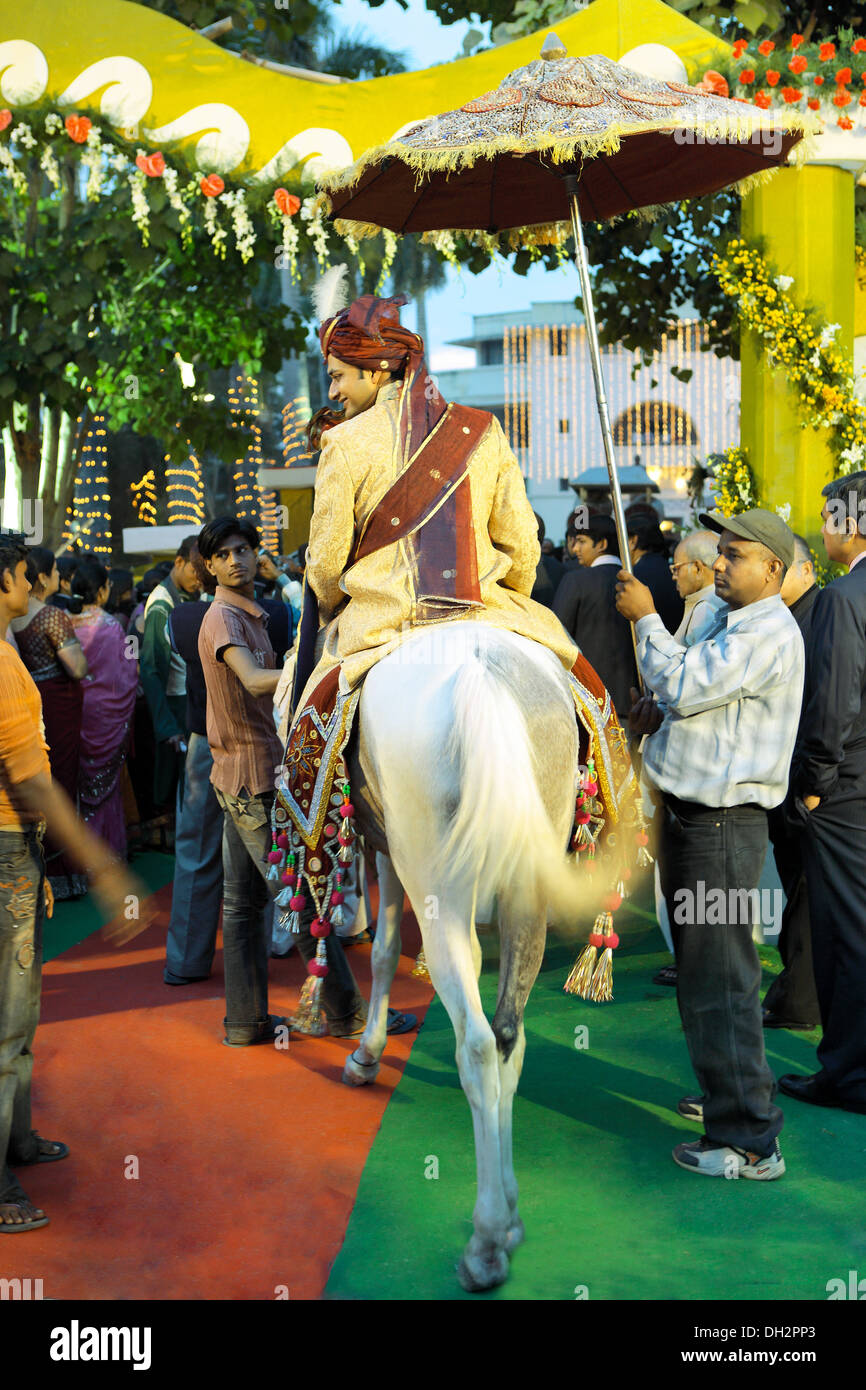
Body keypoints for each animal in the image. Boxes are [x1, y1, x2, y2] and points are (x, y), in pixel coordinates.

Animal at [341, 619, 586, 1289]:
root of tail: (482, 672)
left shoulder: (385, 850)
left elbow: (384, 949)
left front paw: (366, 1054)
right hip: (527, 882)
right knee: (508, 1036)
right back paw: (511, 1217)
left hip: (435, 879)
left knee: (475, 1045)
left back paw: (485, 1241)